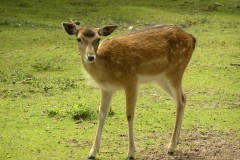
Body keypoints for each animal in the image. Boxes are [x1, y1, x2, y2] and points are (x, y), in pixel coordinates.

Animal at [62, 20, 197, 160]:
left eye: (98, 39)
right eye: (78, 39)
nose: (90, 57)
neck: (107, 70)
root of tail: (192, 38)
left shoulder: (131, 81)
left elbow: (129, 115)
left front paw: (131, 153)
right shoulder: (106, 89)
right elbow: (101, 114)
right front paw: (92, 152)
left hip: (175, 71)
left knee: (180, 101)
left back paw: (171, 147)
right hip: (161, 78)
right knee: (183, 98)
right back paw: (177, 141)